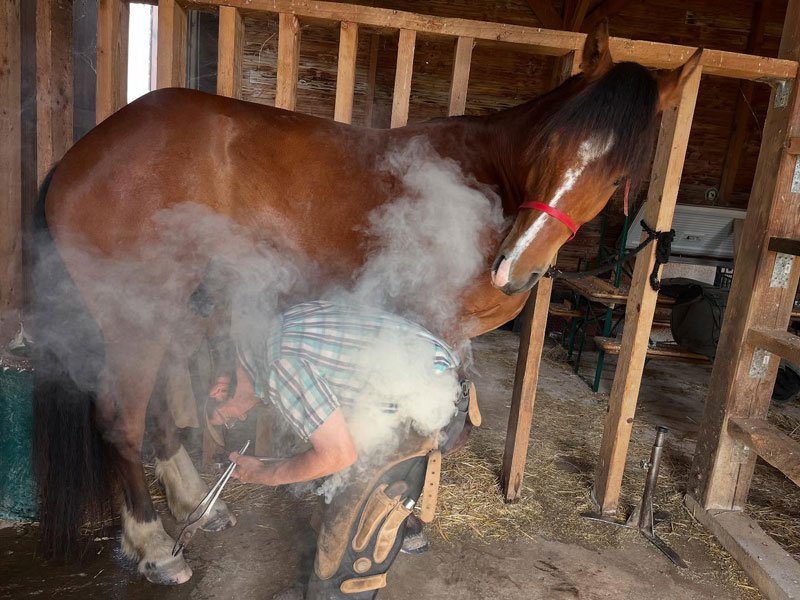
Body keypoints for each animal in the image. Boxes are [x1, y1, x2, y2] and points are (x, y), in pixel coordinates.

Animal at [31, 21, 700, 585]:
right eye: (552, 144)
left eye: (616, 174)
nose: (515, 269)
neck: (484, 180)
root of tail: (77, 157)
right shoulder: (432, 323)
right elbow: (435, 423)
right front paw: (407, 522)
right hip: (134, 317)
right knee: (122, 419)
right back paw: (155, 546)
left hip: (165, 314)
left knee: (160, 412)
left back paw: (198, 503)